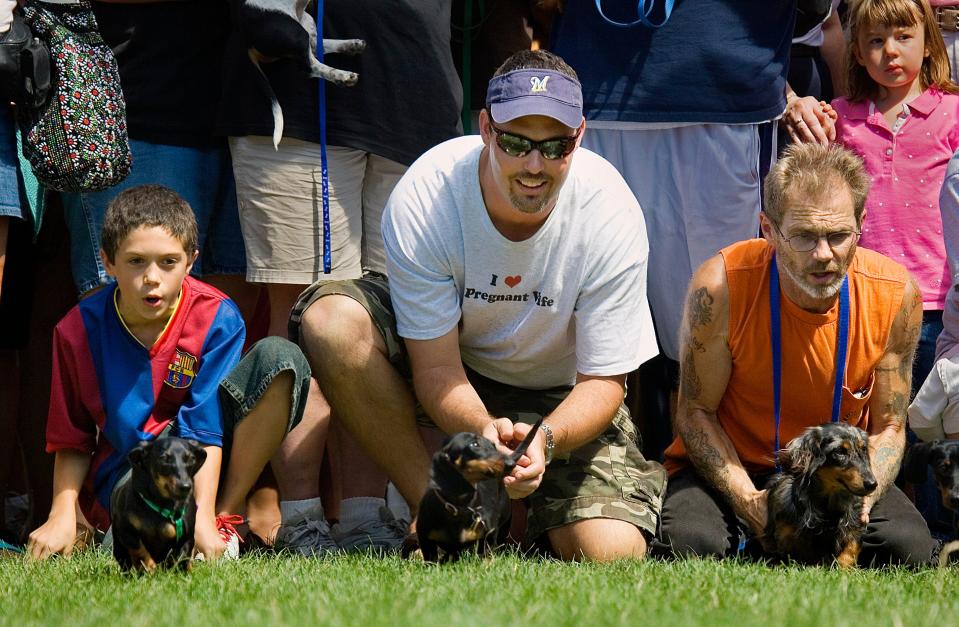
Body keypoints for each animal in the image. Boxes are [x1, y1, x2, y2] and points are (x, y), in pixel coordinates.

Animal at [113, 440, 209, 572]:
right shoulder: (126, 531)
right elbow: (139, 550)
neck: (162, 504)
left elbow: (182, 557)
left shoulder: (187, 537)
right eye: (164, 458)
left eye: (191, 458)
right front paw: (149, 567)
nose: (185, 487)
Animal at [416, 420, 544, 560]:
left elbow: (485, 555)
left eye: (494, 446)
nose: (511, 464)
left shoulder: (488, 534)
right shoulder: (425, 539)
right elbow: (431, 559)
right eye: (474, 444)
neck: (458, 506)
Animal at [764, 422, 876, 568]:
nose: (873, 484)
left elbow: (851, 548)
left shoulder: (856, 523)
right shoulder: (784, 531)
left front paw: (843, 568)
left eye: (863, 449)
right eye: (839, 452)